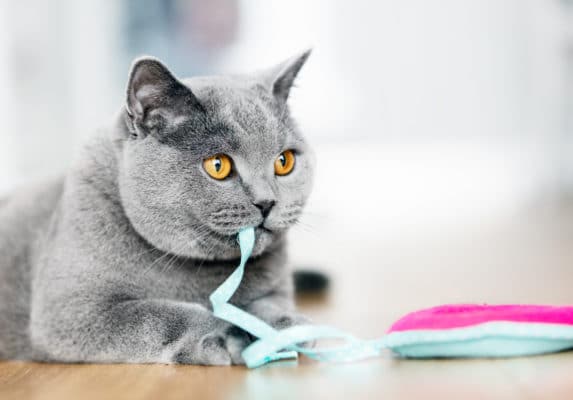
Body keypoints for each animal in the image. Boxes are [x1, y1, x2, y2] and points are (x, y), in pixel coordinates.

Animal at [0, 50, 312, 366]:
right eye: (218, 165)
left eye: (284, 161)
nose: (267, 202)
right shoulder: (70, 309)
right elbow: (156, 315)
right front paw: (225, 332)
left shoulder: (277, 288)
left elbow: (269, 304)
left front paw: (286, 327)